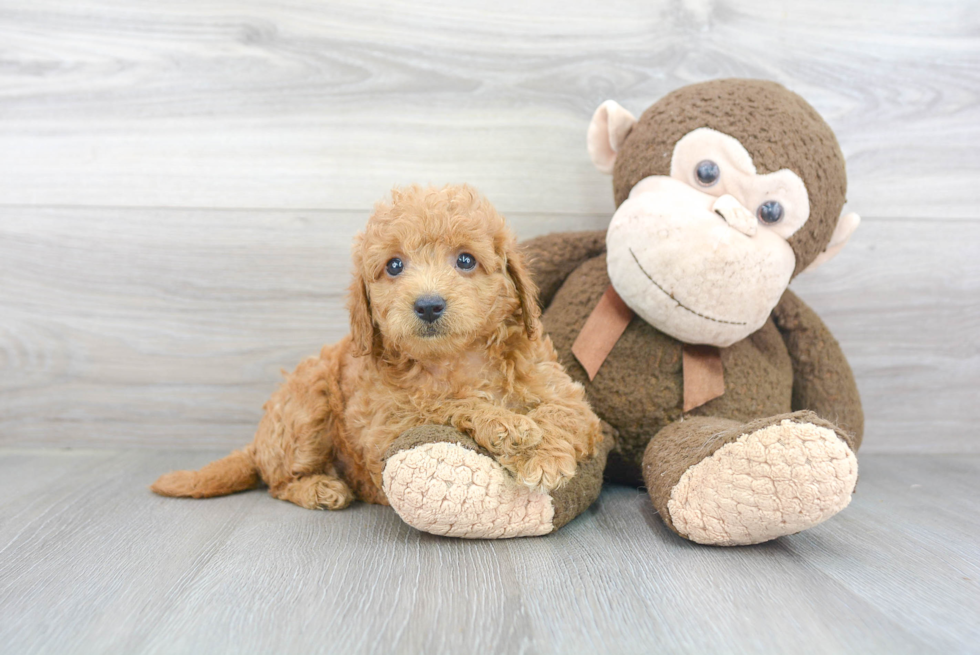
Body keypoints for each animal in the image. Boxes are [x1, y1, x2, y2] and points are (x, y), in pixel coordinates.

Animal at [150, 184, 600, 512]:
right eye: (394, 265)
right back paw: (319, 488)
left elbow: (562, 413)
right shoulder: (386, 428)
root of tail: (257, 444)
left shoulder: (568, 396)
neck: (456, 359)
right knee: (278, 481)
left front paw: (545, 454)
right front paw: (507, 426)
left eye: (466, 260)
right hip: (307, 401)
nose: (428, 304)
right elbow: (445, 404)